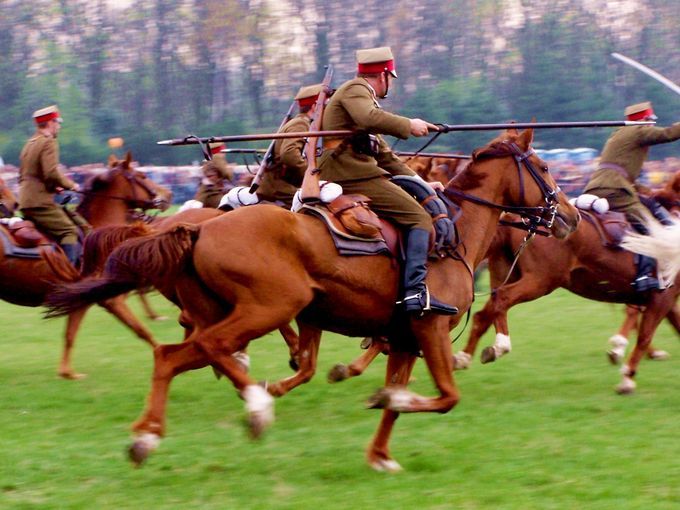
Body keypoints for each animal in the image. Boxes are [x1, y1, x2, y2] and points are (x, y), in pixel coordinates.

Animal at [46, 127, 580, 470]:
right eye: (544, 166)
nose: (571, 217)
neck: (455, 233)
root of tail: (196, 228)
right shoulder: (428, 328)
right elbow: (446, 396)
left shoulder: (405, 338)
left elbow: (392, 396)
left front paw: (380, 452)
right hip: (268, 307)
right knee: (206, 350)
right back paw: (256, 407)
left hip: (224, 313)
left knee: (171, 355)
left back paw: (147, 437)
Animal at [452, 169, 680, 392]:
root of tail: (514, 216)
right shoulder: (662, 297)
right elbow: (644, 335)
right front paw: (626, 375)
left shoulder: (660, 298)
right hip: (541, 281)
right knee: (502, 299)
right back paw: (500, 345)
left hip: (508, 274)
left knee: (484, 314)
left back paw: (464, 357)